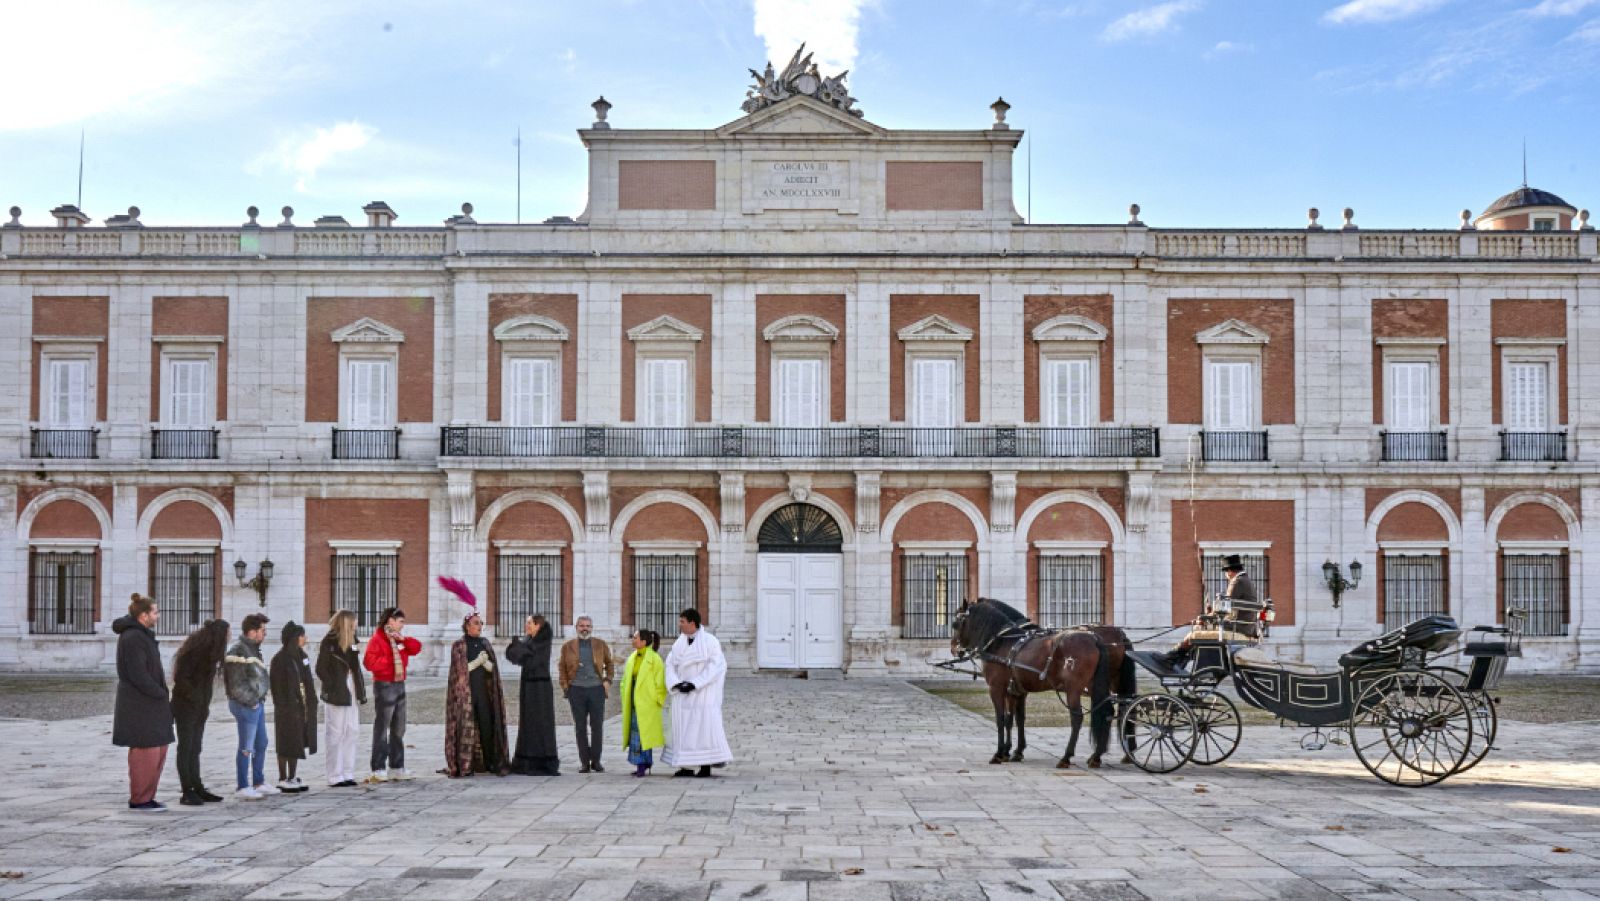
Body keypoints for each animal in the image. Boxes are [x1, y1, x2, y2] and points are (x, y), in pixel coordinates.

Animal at [947, 598, 1139, 768]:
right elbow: (1015, 719)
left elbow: (1001, 719)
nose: (954, 648)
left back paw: (1067, 757)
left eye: (955, 624)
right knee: (1110, 711)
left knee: (1078, 717)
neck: (1003, 641)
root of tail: (1096, 639)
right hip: (1097, 685)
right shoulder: (1016, 691)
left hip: (1075, 689)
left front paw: (999, 753)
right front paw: (1014, 751)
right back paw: (1098, 756)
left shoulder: (997, 688)